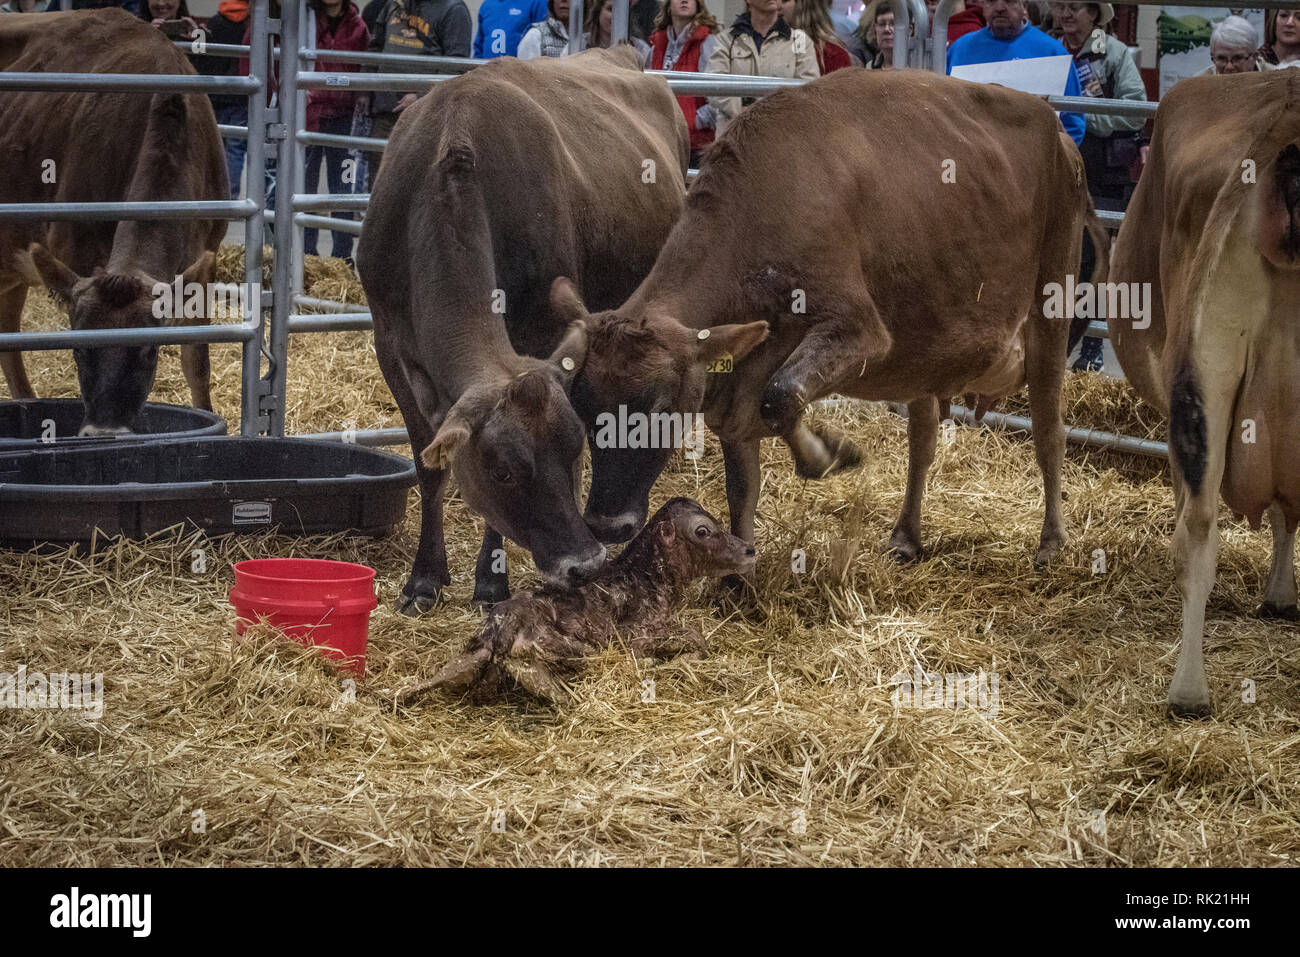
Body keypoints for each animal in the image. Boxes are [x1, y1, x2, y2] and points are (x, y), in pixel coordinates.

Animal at [0, 9, 228, 434]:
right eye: (76, 350)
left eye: (150, 351)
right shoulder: (74, 251)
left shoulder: (205, 257)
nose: (106, 432)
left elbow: (197, 362)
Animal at [356, 46, 689, 615]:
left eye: (573, 448)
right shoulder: (390, 344)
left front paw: (492, 581)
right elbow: (429, 466)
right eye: (502, 471)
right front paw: (425, 579)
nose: (584, 563)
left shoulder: (541, 332)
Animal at [557, 68, 1103, 572]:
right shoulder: (736, 381)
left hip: (1051, 305)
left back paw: (1051, 541)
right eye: (581, 407)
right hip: (926, 347)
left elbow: (781, 396)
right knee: (923, 438)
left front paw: (829, 454)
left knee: (1049, 430)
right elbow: (742, 483)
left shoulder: (860, 331)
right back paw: (906, 535)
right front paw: (739, 572)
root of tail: (1057, 131)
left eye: (659, 408)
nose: (606, 525)